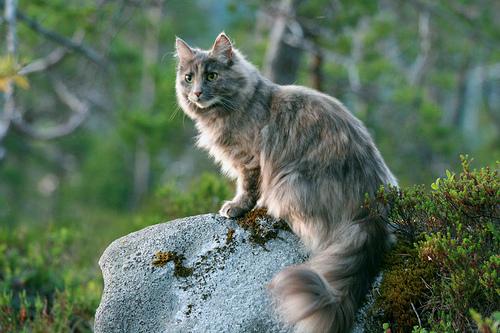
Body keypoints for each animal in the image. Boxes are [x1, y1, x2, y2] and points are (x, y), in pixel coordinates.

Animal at [174, 33, 396, 332]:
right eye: (188, 78)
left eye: (211, 76)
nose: (197, 92)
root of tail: (373, 209)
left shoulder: (250, 159)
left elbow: (248, 187)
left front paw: (236, 207)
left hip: (290, 182)